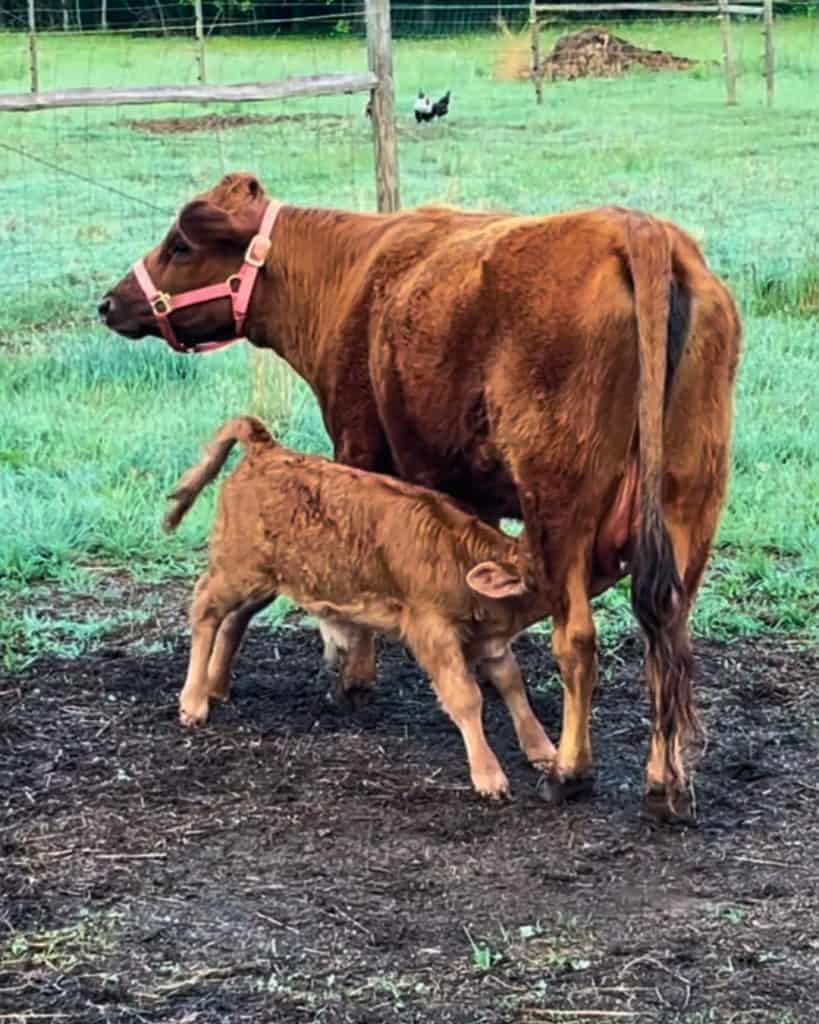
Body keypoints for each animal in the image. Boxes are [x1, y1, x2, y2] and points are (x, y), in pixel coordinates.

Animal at [163, 415, 558, 799]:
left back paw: (216, 686)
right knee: (205, 610)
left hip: (267, 581)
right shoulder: (433, 633)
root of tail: (267, 449)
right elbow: (465, 697)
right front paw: (490, 777)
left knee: (233, 621)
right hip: (235, 570)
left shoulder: (488, 640)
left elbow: (512, 684)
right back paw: (194, 702)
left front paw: (542, 751)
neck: (460, 558)